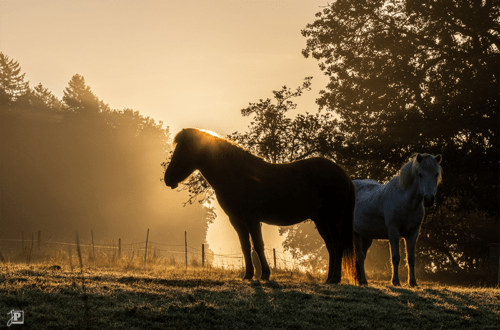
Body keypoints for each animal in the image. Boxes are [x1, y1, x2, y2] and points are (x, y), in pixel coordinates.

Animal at [164, 129, 356, 284]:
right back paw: (328, 278)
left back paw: (335, 279)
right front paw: (248, 275)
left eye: (182, 151)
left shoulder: (252, 219)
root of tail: (343, 173)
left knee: (337, 244)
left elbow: (258, 245)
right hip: (321, 220)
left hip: (333, 218)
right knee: (330, 246)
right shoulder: (237, 221)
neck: (238, 175)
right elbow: (245, 247)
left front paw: (265, 274)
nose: (168, 179)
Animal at [352, 153, 442, 284]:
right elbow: (395, 257)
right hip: (355, 234)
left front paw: (413, 282)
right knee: (360, 256)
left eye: (436, 174)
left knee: (361, 256)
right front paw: (395, 281)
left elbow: (411, 258)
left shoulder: (413, 233)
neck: (405, 201)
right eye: (420, 174)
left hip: (366, 236)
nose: (429, 199)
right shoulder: (393, 231)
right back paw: (363, 280)